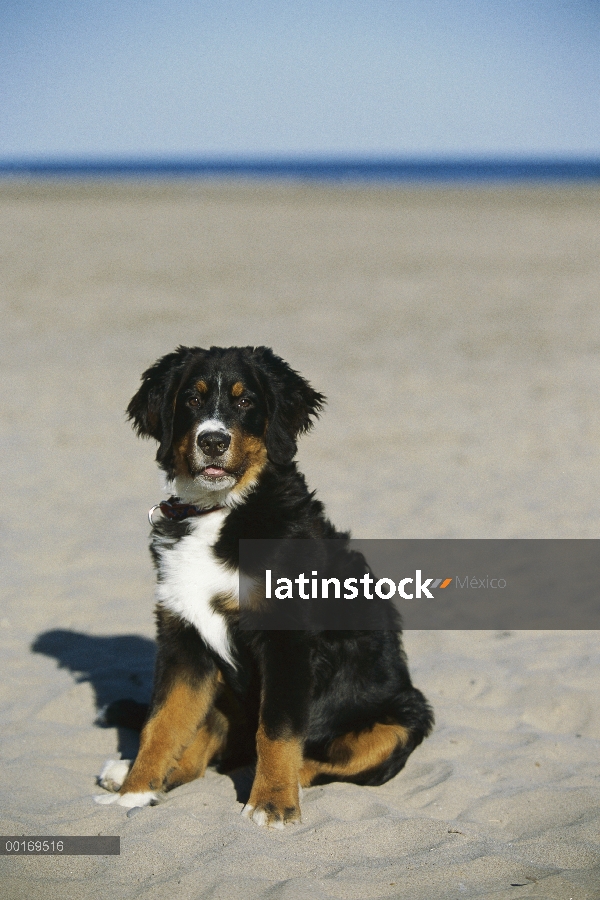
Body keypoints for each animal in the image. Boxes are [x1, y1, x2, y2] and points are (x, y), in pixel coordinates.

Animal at [94, 346, 434, 828]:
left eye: (244, 402)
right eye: (192, 399)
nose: (212, 441)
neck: (218, 511)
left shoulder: (286, 640)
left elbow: (277, 729)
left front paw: (272, 803)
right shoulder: (183, 637)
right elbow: (160, 724)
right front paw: (134, 794)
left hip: (404, 716)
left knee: (312, 761)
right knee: (198, 755)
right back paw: (125, 774)